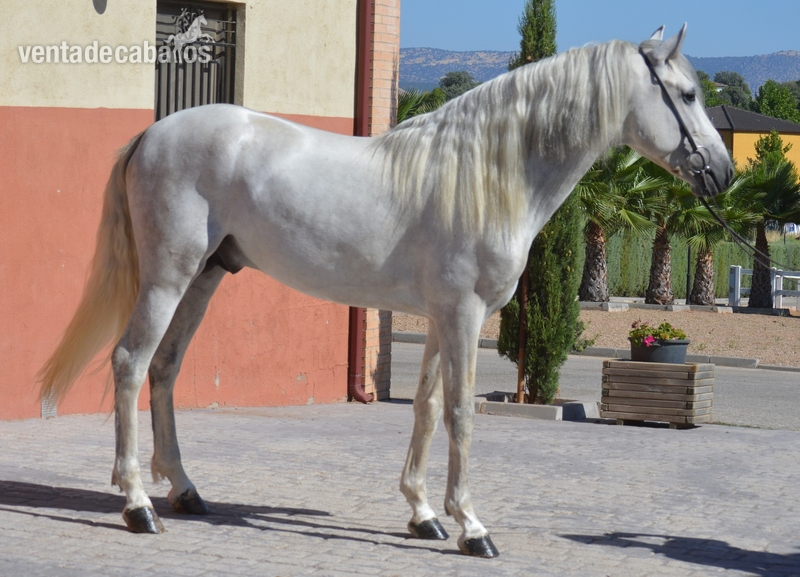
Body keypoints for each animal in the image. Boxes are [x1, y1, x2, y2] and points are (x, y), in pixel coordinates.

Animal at [38, 25, 733, 558]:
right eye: (687, 94)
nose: (723, 174)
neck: (488, 175)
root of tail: (152, 134)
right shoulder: (463, 315)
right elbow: (461, 413)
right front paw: (471, 527)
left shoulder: (441, 317)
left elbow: (426, 408)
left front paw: (424, 515)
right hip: (168, 277)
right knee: (130, 364)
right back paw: (137, 505)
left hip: (203, 279)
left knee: (164, 369)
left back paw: (184, 490)